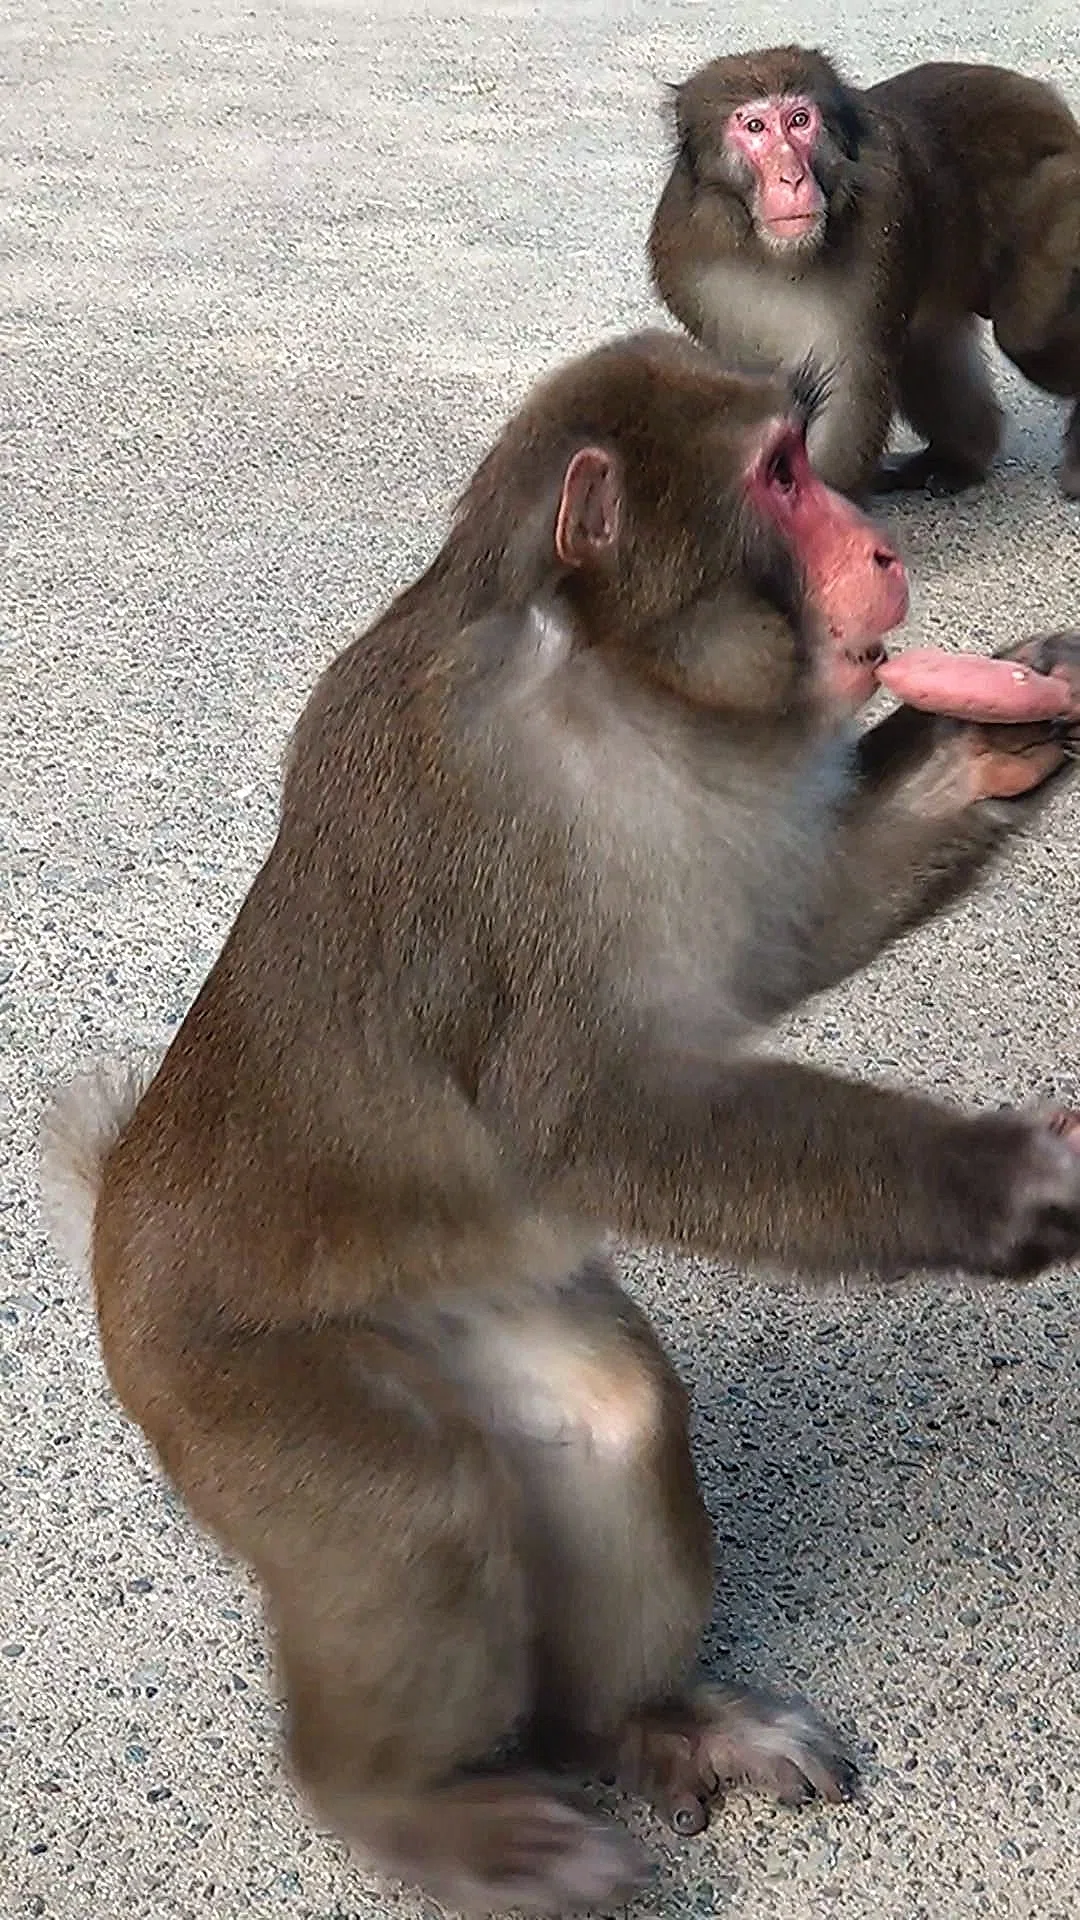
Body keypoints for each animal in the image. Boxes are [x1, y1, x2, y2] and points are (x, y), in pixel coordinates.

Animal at [39, 331, 1080, 1915]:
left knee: (608, 1413)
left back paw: (626, 1724)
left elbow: (784, 934)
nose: (885, 550)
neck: (612, 682)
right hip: (212, 1382)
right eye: (784, 478)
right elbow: (585, 1115)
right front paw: (1001, 1178)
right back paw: (406, 1809)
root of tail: (118, 1211)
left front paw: (997, 724)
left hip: (474, 1310)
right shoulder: (490, 815)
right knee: (413, 1502)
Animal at [648, 47, 1080, 500]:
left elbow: (851, 389)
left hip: (1060, 193)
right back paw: (956, 459)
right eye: (754, 127)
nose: (792, 178)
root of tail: (1043, 99)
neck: (771, 255)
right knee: (926, 342)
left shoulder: (880, 220)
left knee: (1027, 338)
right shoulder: (683, 260)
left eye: (799, 120)